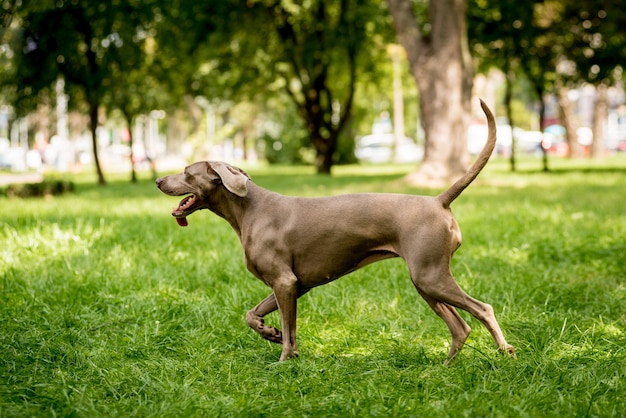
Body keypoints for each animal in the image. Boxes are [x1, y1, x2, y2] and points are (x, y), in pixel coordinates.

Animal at [155, 100, 512, 362]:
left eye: (186, 172)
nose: (158, 180)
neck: (249, 209)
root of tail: (439, 200)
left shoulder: (285, 282)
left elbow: (290, 329)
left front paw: (284, 360)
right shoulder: (295, 285)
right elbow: (252, 315)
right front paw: (271, 334)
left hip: (430, 275)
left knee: (483, 309)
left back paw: (504, 352)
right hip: (425, 281)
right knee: (460, 327)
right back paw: (442, 368)